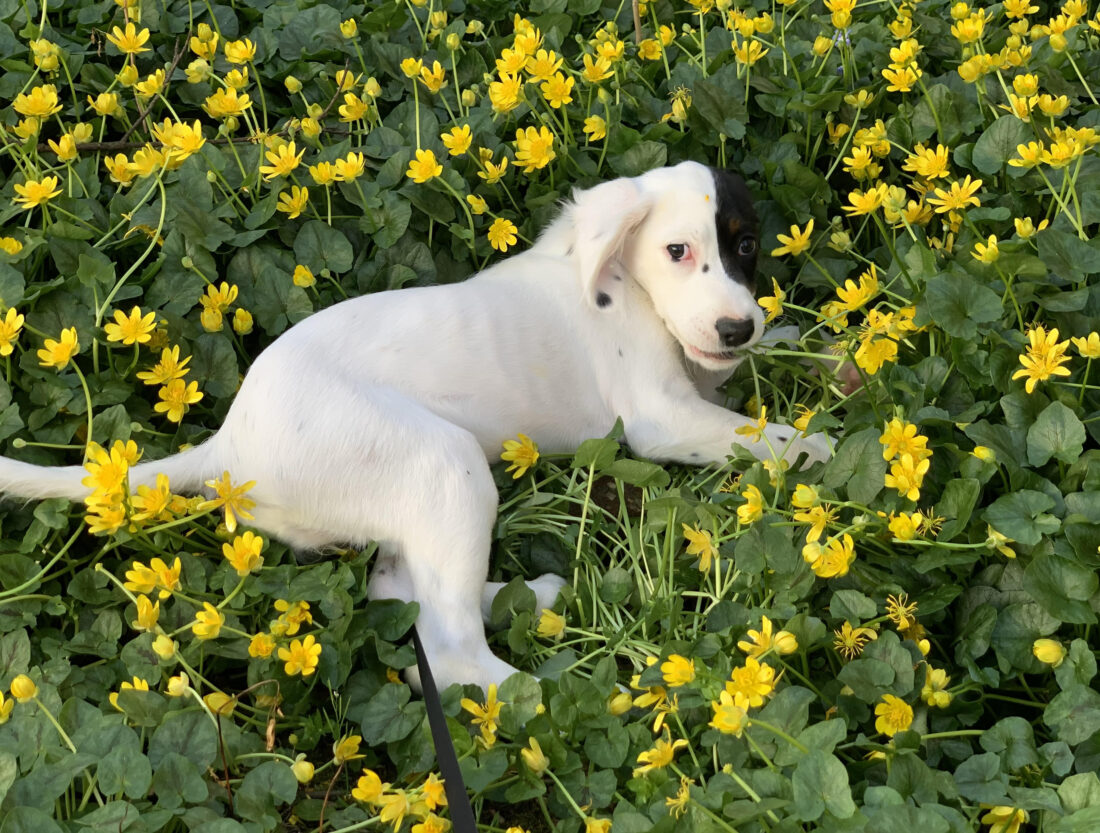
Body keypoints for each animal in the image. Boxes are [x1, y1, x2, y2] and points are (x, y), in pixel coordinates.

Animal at [0, 160, 827, 691]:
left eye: (745, 245)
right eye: (678, 250)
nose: (735, 326)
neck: (621, 280)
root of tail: (230, 446)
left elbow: (773, 368)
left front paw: (821, 349)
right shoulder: (661, 417)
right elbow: (762, 436)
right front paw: (816, 447)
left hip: (406, 506)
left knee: (404, 592)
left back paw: (537, 595)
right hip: (442, 460)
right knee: (450, 646)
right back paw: (551, 690)